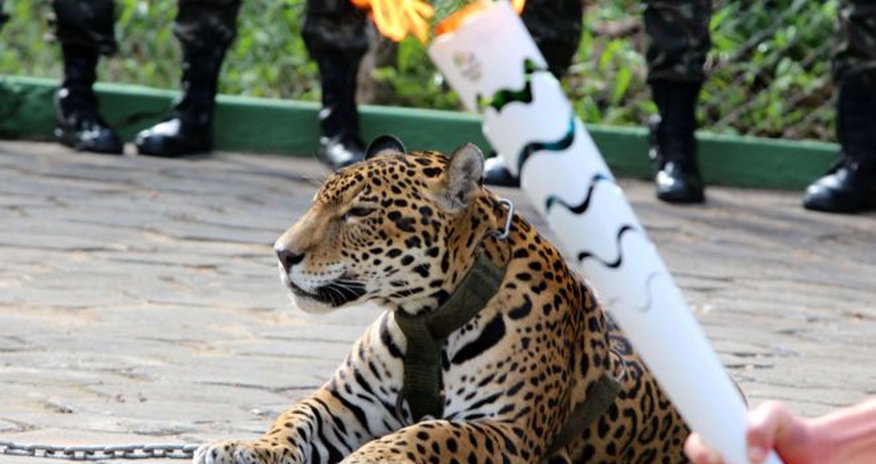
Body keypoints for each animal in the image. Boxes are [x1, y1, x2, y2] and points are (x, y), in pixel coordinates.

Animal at [194, 136, 690, 464]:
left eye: (360, 212)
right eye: (317, 202)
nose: (282, 253)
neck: (426, 318)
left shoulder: (509, 430)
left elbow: (426, 432)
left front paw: (366, 458)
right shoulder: (348, 402)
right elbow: (295, 416)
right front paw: (245, 447)